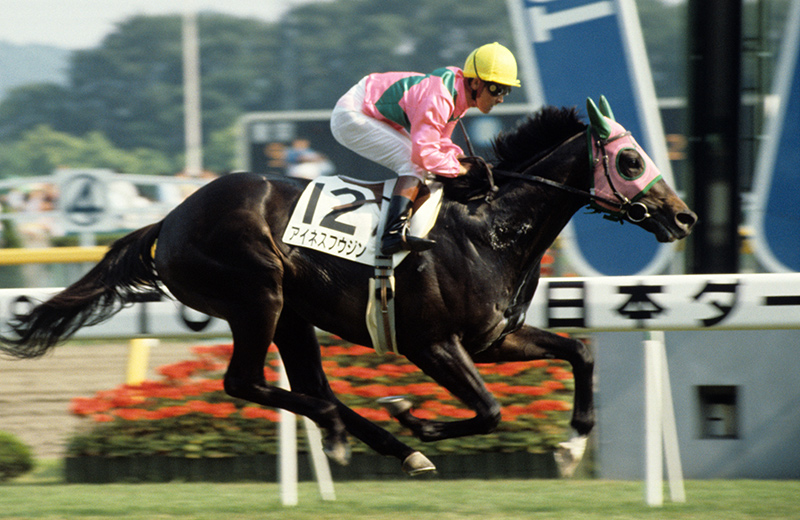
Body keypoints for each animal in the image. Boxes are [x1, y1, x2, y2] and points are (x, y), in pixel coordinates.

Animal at [0, 97, 696, 476]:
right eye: (630, 159)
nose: (684, 216)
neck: (488, 227)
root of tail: (169, 220)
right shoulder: (433, 343)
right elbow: (490, 410)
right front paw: (417, 418)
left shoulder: (494, 338)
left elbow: (579, 351)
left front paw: (571, 448)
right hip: (258, 296)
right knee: (247, 383)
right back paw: (362, 432)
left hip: (291, 313)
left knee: (311, 385)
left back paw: (378, 442)